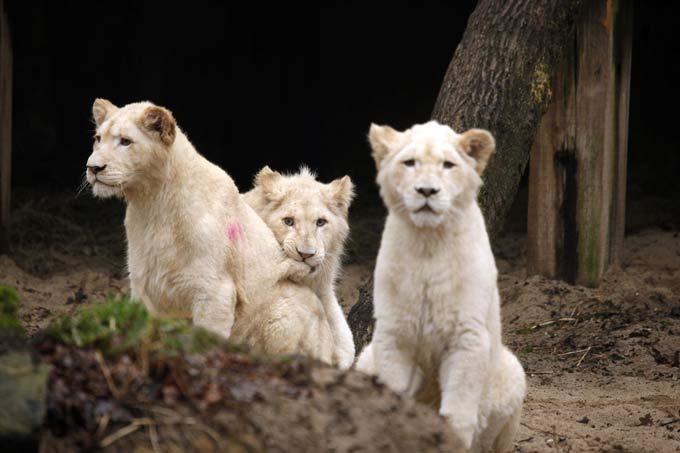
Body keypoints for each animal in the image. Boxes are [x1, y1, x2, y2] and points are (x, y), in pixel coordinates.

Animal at [85, 99, 335, 363]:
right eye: (98, 138)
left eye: (125, 141)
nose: (93, 167)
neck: (152, 205)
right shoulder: (144, 284)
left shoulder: (215, 291)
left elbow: (205, 336)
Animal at [355, 121, 526, 452]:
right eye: (410, 163)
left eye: (448, 165)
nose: (426, 191)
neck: (428, 245)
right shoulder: (393, 334)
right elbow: (393, 399)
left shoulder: (468, 336)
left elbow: (457, 413)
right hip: (366, 358)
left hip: (512, 371)